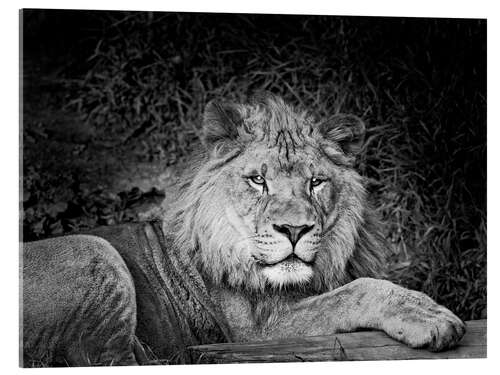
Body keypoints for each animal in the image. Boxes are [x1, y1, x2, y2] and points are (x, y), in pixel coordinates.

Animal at [19, 93, 464, 368]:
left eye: (316, 183)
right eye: (258, 180)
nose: (293, 229)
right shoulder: (255, 332)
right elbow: (356, 292)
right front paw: (432, 317)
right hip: (93, 248)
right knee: (98, 355)